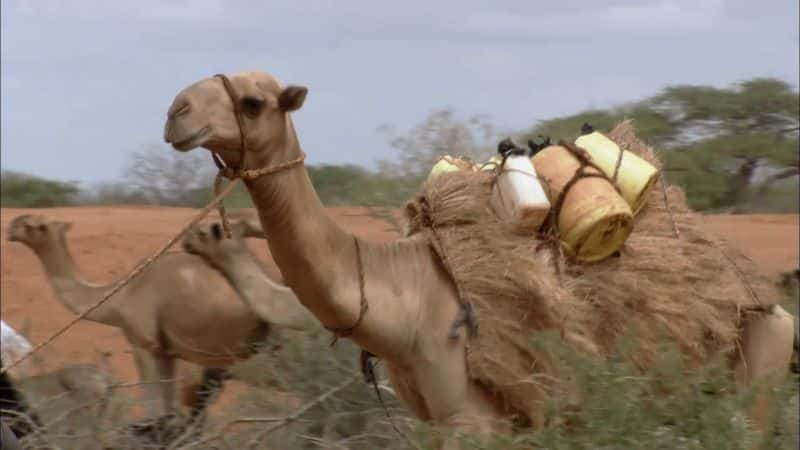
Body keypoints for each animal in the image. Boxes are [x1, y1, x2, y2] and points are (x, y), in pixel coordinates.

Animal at [6, 214, 274, 426]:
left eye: (33, 225)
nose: (10, 226)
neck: (121, 296)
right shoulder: (169, 353)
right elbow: (167, 414)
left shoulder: (144, 344)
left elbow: (154, 409)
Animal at [161, 71, 792, 446]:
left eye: (252, 102)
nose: (175, 112)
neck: (398, 294)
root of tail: (773, 301)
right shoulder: (436, 422)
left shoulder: (476, 419)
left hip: (757, 376)